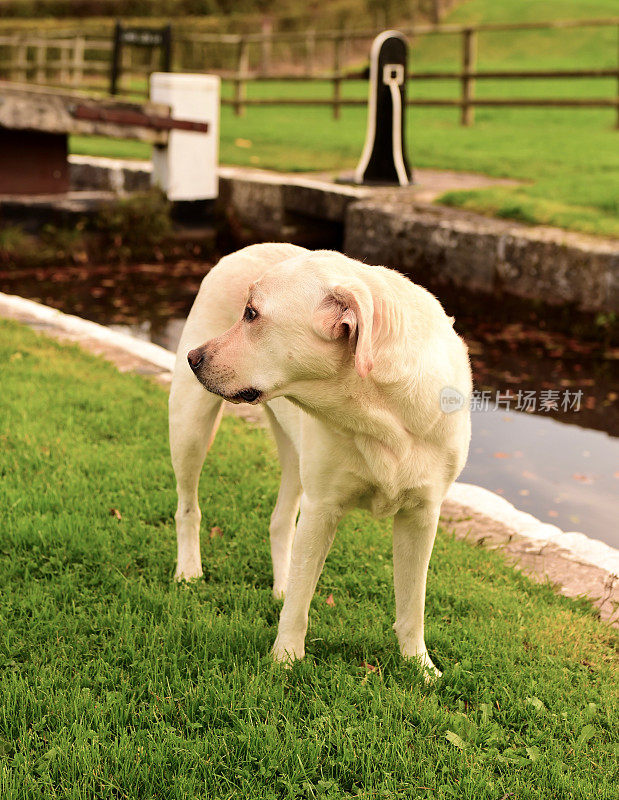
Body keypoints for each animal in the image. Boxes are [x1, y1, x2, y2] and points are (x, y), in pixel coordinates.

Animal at [167, 244, 472, 676]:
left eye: (251, 314)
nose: (194, 357)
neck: (383, 414)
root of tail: (245, 248)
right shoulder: (322, 508)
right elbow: (300, 603)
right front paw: (285, 660)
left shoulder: (422, 515)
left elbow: (413, 604)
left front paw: (420, 666)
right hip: (190, 426)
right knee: (187, 508)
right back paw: (189, 571)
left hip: (294, 458)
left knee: (280, 523)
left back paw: (279, 585)